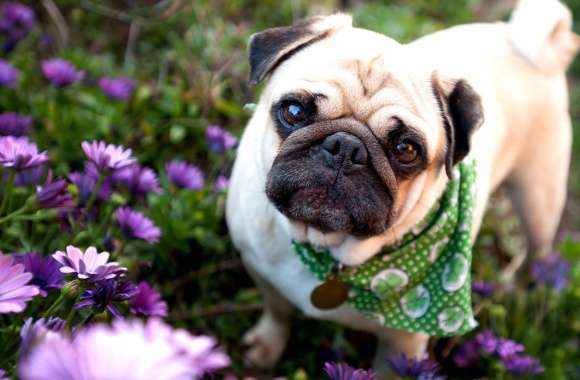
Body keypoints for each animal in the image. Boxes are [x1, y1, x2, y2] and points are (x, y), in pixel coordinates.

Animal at [224, 0, 576, 374]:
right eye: (293, 111)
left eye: (405, 149)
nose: (346, 148)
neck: (327, 248)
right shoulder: (260, 269)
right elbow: (277, 311)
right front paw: (266, 346)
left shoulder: (402, 345)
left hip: (539, 198)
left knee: (537, 250)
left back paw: (517, 287)